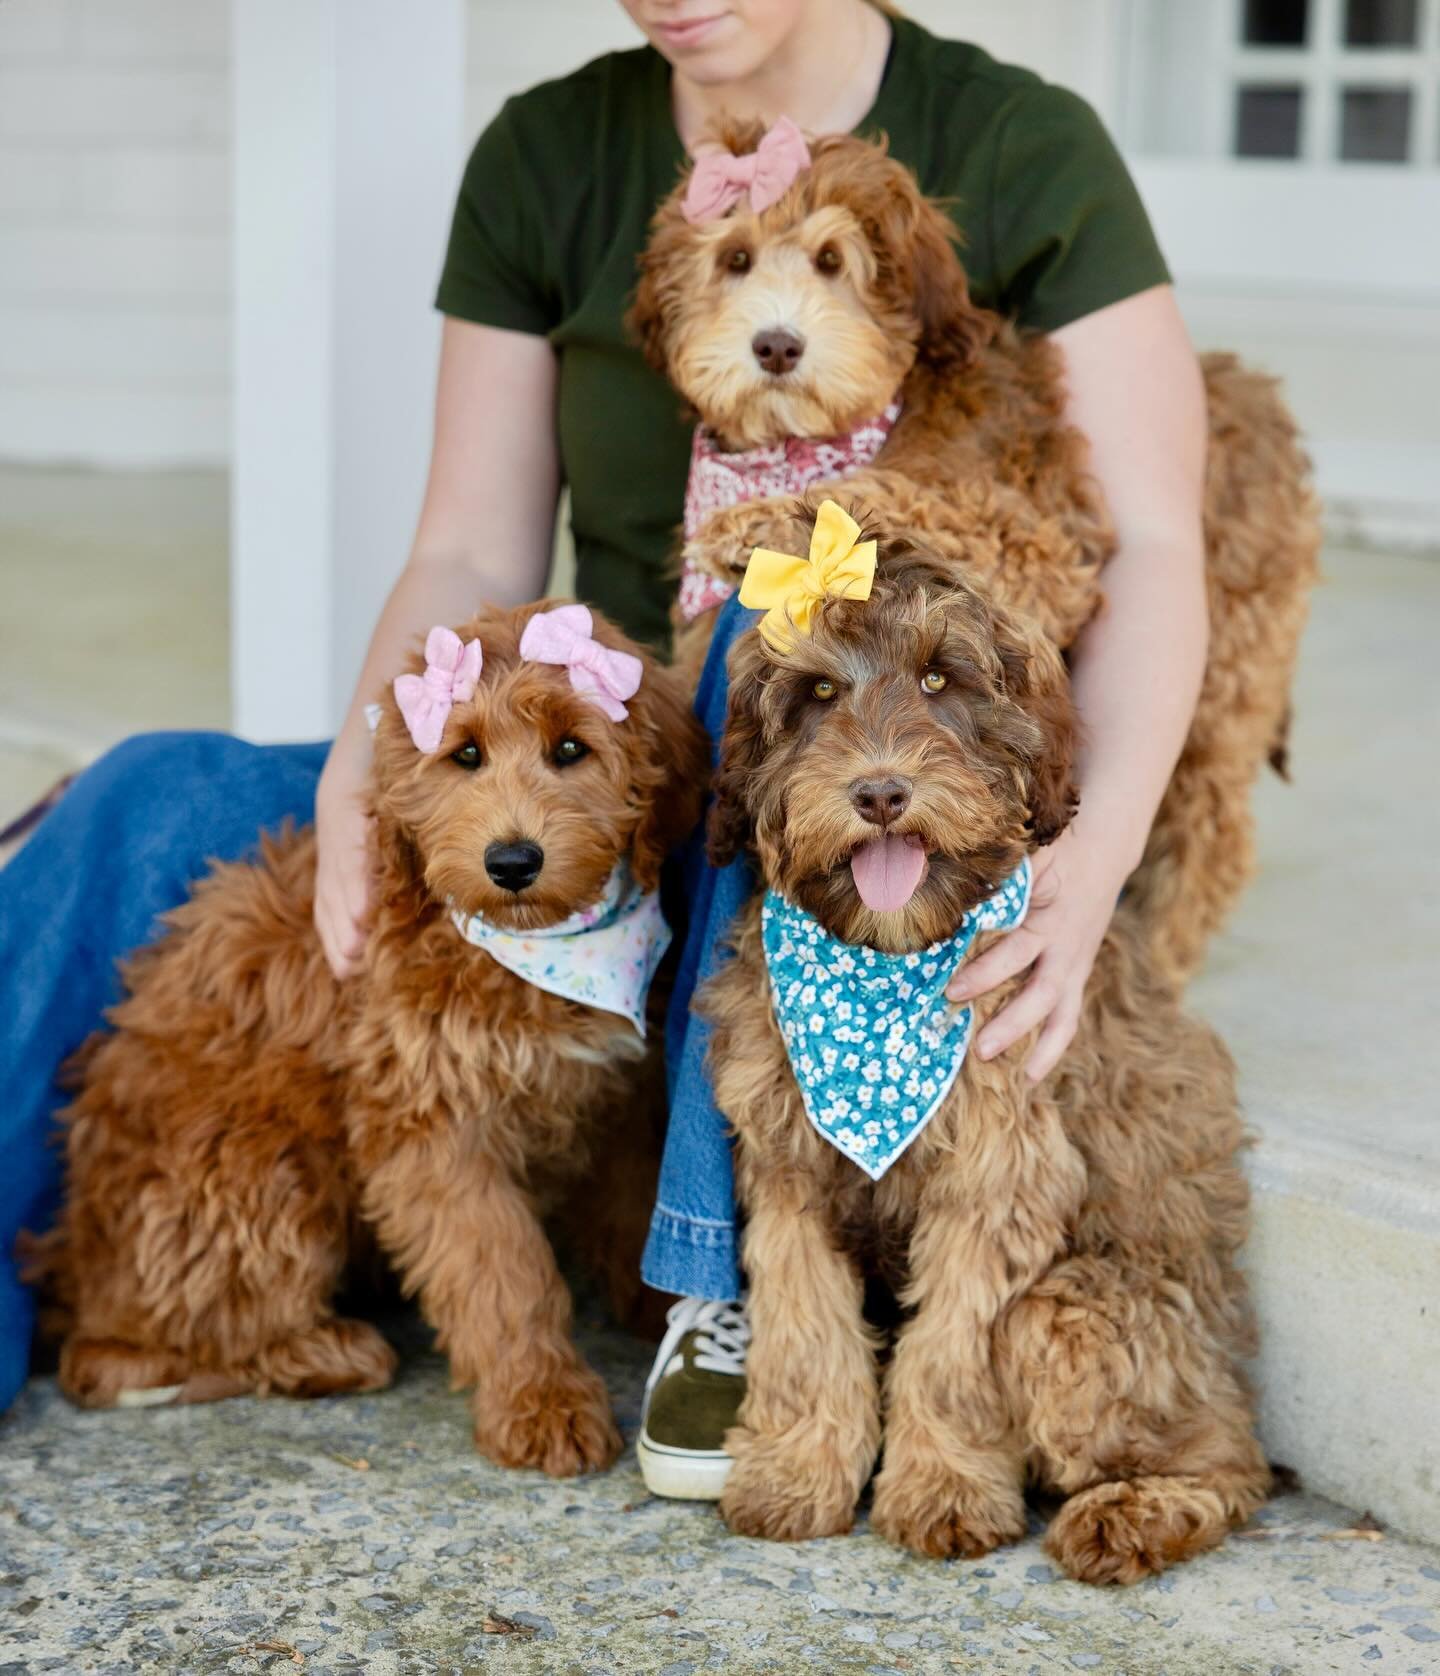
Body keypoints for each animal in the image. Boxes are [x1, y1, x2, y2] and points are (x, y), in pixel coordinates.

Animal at [26, 603, 710, 1481]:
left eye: (570, 749)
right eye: (465, 755)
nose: (512, 861)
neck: (533, 955)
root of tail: (75, 1263)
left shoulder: (621, 1094)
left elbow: (632, 1204)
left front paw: (656, 1303)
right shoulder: (432, 1125)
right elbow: (501, 1270)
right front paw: (542, 1400)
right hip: (260, 1171)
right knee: (123, 1356)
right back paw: (326, 1352)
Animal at [630, 124, 1320, 985]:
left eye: (831, 260)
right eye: (734, 259)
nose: (778, 345)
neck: (816, 440)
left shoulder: (1030, 541)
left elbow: (898, 498)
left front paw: (752, 526)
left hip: (1223, 684)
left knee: (1207, 832)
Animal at [704, 502, 1267, 1575]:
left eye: (939, 679)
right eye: (818, 692)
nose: (880, 794)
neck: (887, 966)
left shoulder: (998, 1179)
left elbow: (950, 1352)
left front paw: (946, 1489)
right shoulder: (787, 1167)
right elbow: (804, 1326)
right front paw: (797, 1472)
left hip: (1084, 1312)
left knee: (1229, 1462)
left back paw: (1133, 1511)